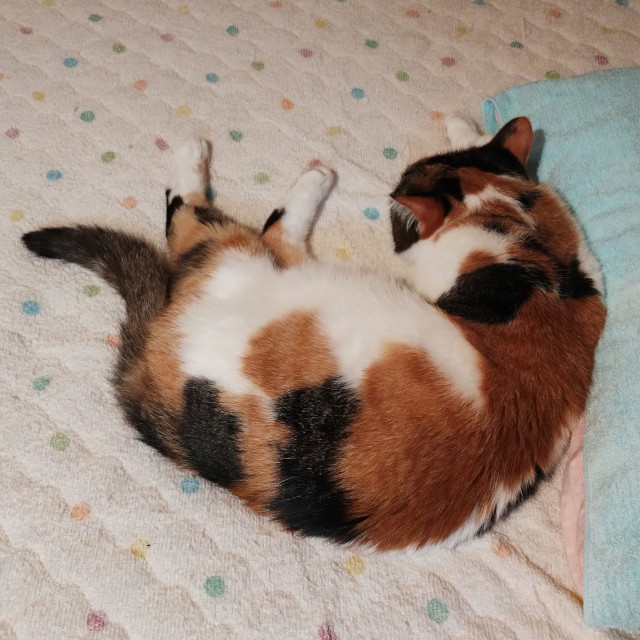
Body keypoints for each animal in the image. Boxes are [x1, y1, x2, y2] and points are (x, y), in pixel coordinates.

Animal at [22, 115, 605, 550]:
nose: (392, 189)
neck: (523, 236)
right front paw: (466, 120)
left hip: (240, 260)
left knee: (213, 221)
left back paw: (257, 164)